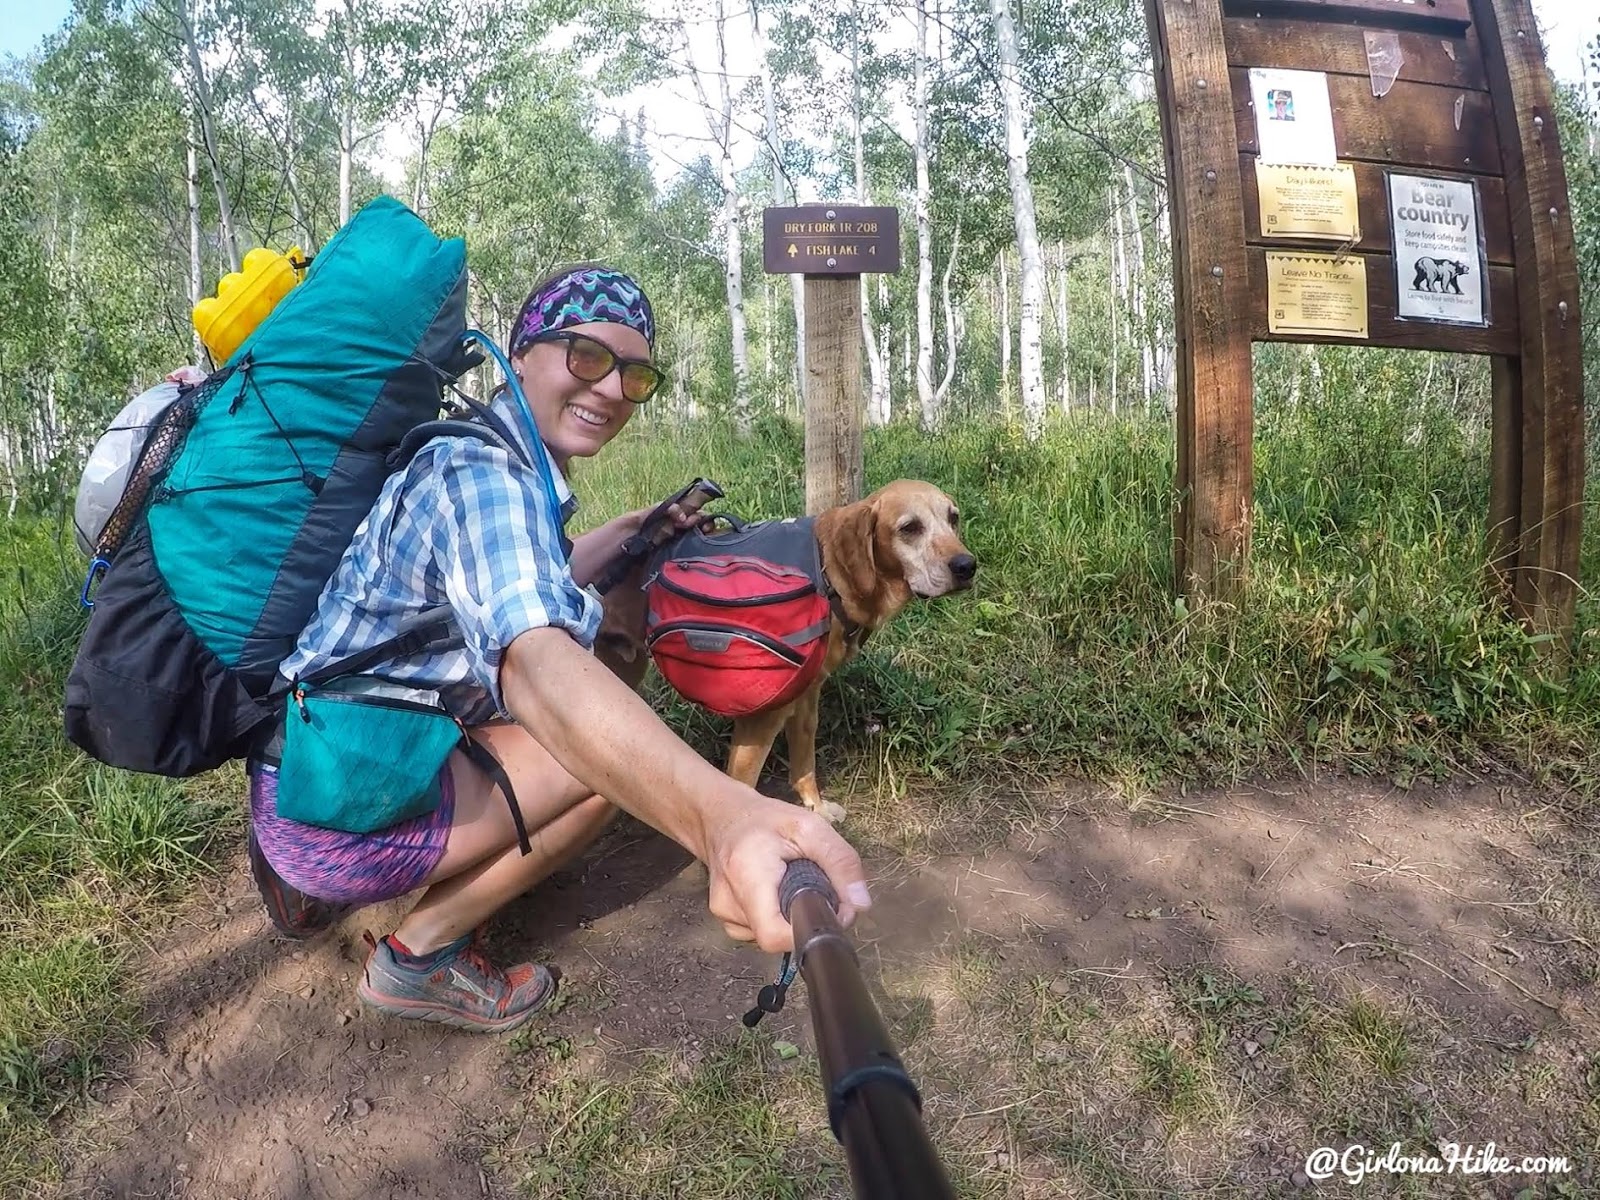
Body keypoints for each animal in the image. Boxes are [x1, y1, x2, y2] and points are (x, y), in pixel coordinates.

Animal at [595, 480, 972, 825]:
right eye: (910, 528)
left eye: (953, 518)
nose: (967, 566)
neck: (827, 572)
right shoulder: (760, 720)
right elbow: (742, 789)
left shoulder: (806, 699)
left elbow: (804, 763)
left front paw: (816, 808)